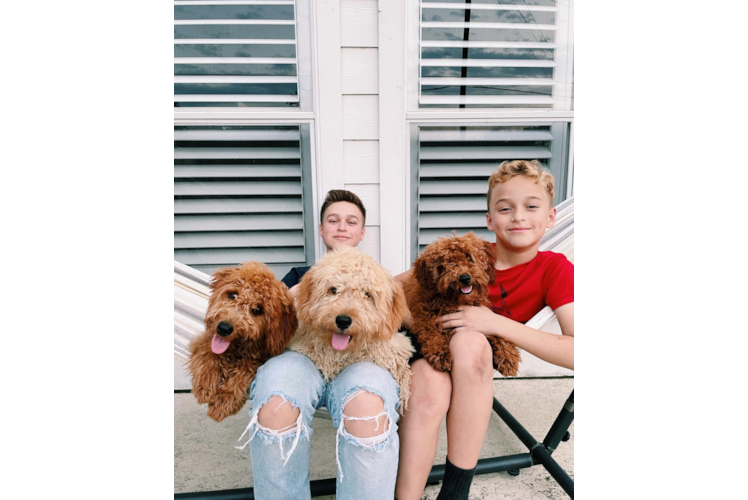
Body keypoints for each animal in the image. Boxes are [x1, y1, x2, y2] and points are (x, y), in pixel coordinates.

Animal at [187, 262, 298, 422]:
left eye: (258, 310)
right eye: (233, 295)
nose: (224, 328)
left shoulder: (262, 356)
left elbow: (244, 369)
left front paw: (224, 400)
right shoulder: (204, 340)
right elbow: (209, 353)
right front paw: (206, 385)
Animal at [404, 232, 520, 376]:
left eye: (469, 257)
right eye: (448, 262)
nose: (465, 278)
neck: (454, 301)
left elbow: (494, 330)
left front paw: (508, 355)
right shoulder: (423, 319)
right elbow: (431, 333)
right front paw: (440, 354)